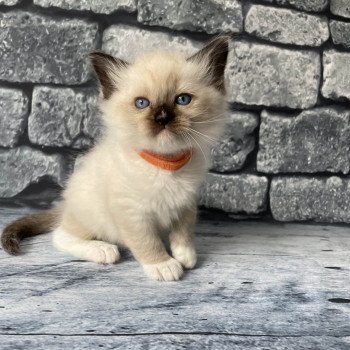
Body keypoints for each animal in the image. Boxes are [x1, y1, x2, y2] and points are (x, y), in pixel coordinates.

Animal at [2, 36, 230, 282]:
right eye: (142, 103)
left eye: (183, 100)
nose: (162, 118)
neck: (165, 164)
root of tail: (65, 205)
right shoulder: (131, 213)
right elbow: (148, 242)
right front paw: (164, 265)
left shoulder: (185, 204)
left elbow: (183, 232)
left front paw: (185, 256)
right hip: (91, 216)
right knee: (60, 235)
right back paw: (103, 250)